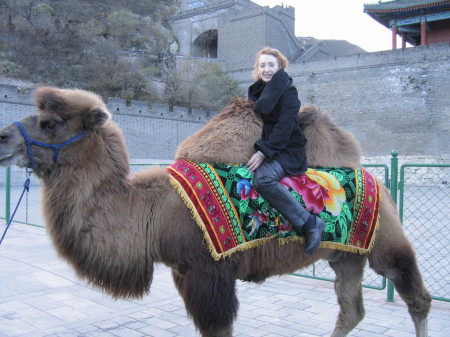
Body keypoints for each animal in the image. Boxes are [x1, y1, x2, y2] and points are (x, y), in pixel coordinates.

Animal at [0, 87, 430, 336]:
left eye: (51, 123)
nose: (3, 137)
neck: (151, 211)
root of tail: (378, 181)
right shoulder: (183, 272)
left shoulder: (209, 273)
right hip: (344, 255)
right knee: (351, 309)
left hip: (385, 242)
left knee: (415, 297)